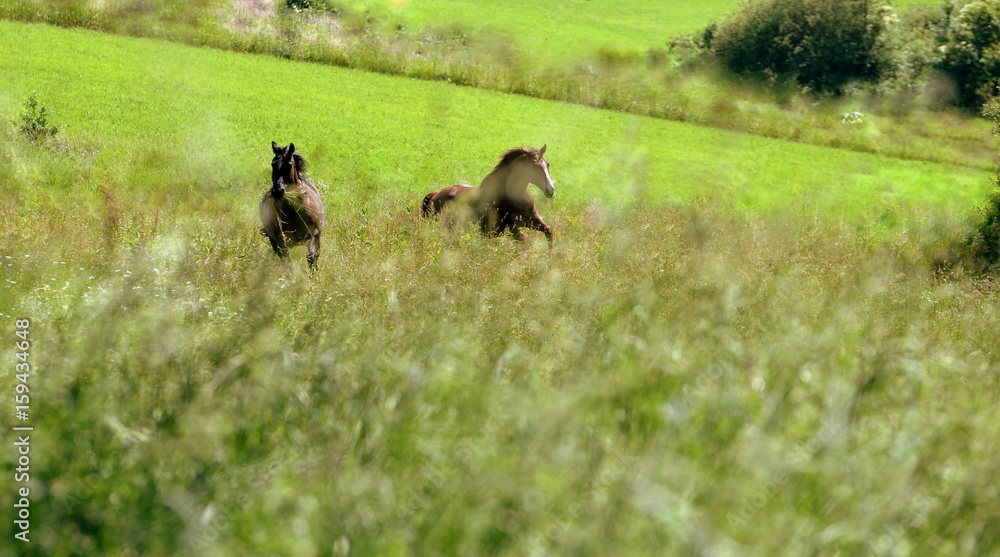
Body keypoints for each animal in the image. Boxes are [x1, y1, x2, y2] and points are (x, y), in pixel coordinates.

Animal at [422, 145, 555, 248]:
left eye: (547, 164)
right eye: (535, 166)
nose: (550, 189)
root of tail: (435, 195)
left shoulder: (529, 220)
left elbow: (548, 230)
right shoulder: (503, 228)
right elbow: (524, 240)